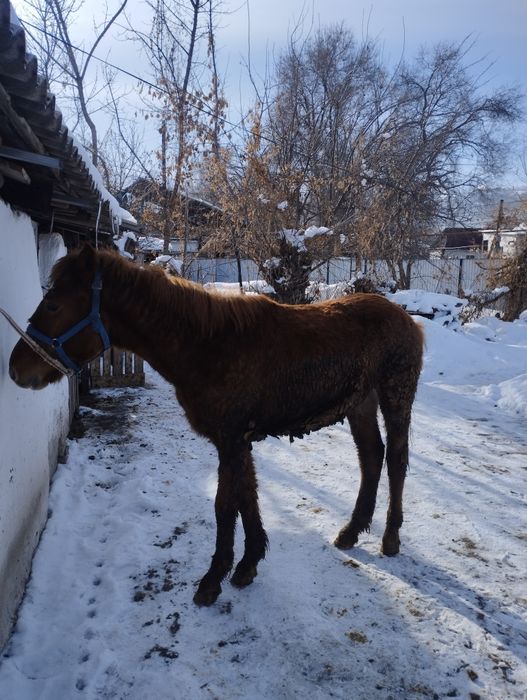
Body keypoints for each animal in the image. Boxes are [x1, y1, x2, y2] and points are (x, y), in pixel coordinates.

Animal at [9, 244, 424, 606]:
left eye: (54, 304)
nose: (16, 369)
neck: (206, 346)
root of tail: (407, 319)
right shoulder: (238, 440)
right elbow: (247, 497)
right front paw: (247, 565)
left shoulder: (230, 438)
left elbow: (226, 506)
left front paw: (213, 580)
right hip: (360, 404)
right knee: (371, 457)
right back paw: (352, 531)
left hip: (395, 396)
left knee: (396, 460)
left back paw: (390, 538)